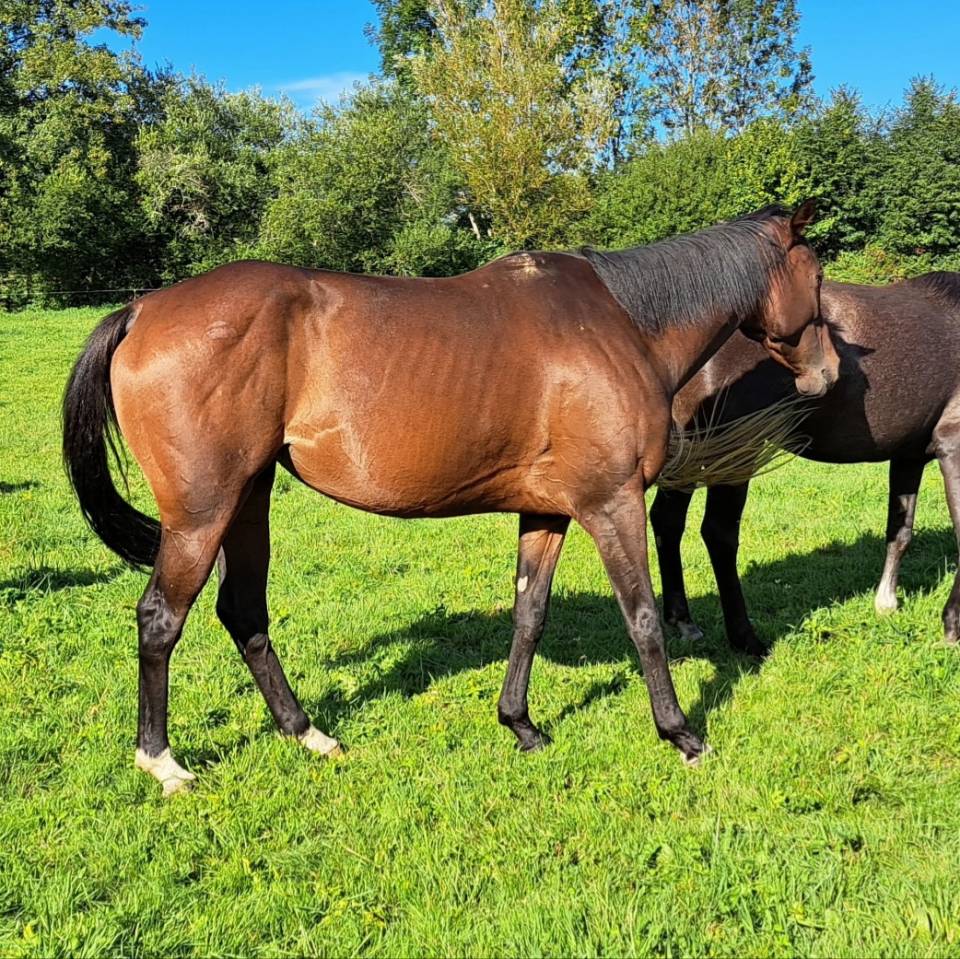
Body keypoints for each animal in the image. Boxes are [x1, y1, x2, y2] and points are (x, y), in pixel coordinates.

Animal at [63, 202, 833, 795]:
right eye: (820, 276)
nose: (826, 375)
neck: (622, 323)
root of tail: (141, 310)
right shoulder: (610, 503)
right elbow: (642, 618)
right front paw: (681, 733)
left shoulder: (547, 510)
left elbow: (529, 614)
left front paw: (520, 723)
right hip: (201, 513)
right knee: (161, 618)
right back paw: (163, 761)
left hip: (249, 499)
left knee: (243, 611)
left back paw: (307, 733)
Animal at [650, 273, 960, 658]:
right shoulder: (951, 447)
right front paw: (951, 626)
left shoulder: (909, 456)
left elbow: (900, 531)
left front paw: (886, 603)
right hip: (736, 455)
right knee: (718, 533)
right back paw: (746, 638)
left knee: (667, 521)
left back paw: (683, 621)